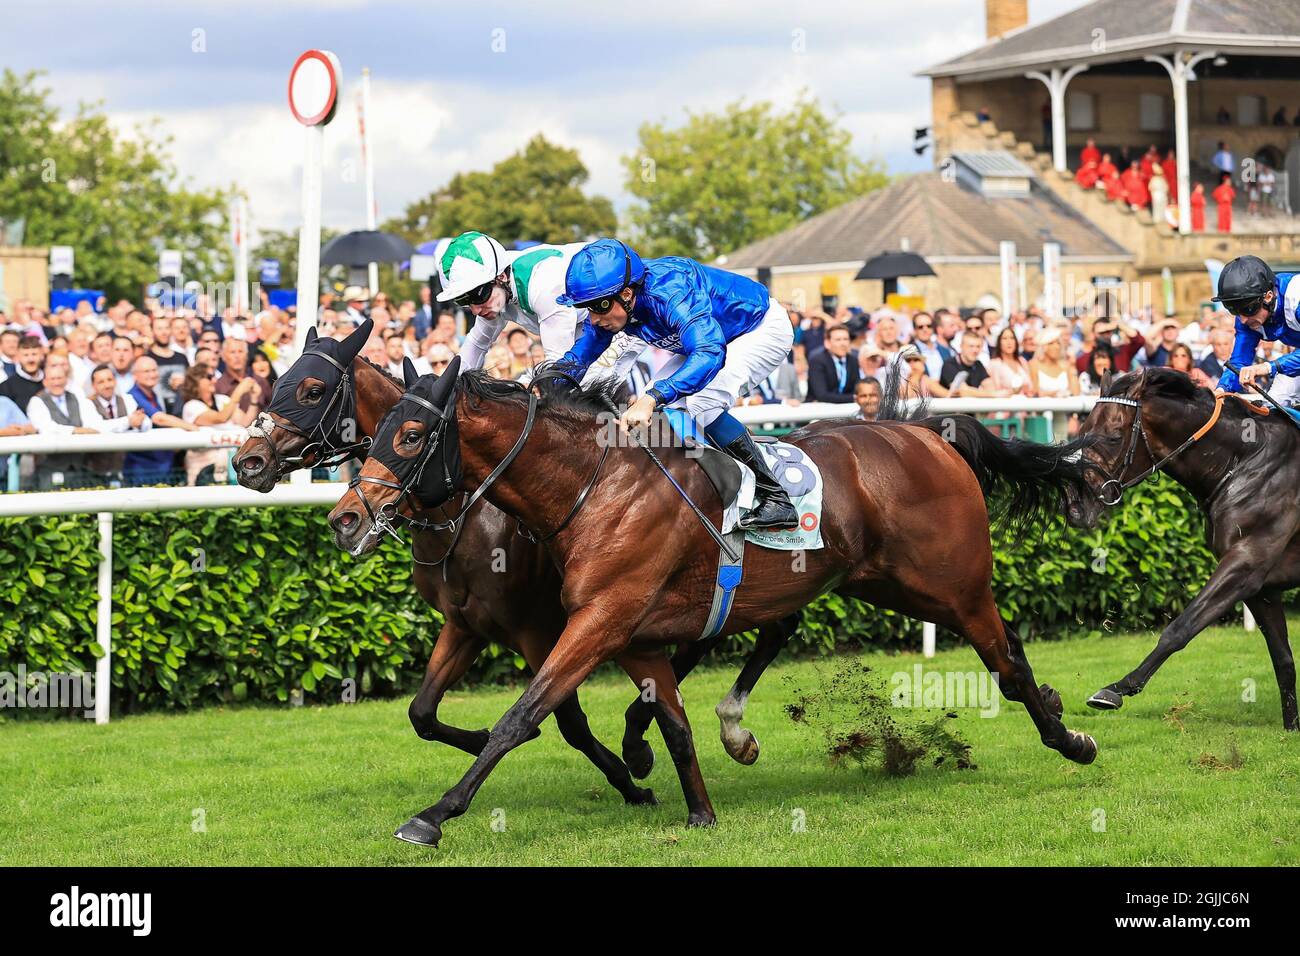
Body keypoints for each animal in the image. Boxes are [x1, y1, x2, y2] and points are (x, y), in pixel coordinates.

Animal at [330, 361, 1102, 848]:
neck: (593, 485)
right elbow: (670, 723)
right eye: (370, 435)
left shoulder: (598, 620)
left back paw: (1071, 738)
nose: (343, 518)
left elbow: (522, 717)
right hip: (867, 580)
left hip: (950, 585)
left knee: (1006, 659)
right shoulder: (632, 633)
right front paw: (696, 809)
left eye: (409, 436)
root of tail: (928, 434)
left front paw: (434, 815)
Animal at [1066, 369, 1300, 733]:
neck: (1244, 462)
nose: (1076, 507)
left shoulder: (1246, 563)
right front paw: (1292, 728)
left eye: (1114, 436)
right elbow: (1283, 659)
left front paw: (1115, 689)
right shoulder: (1261, 586)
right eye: (1083, 433)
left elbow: (1180, 628)